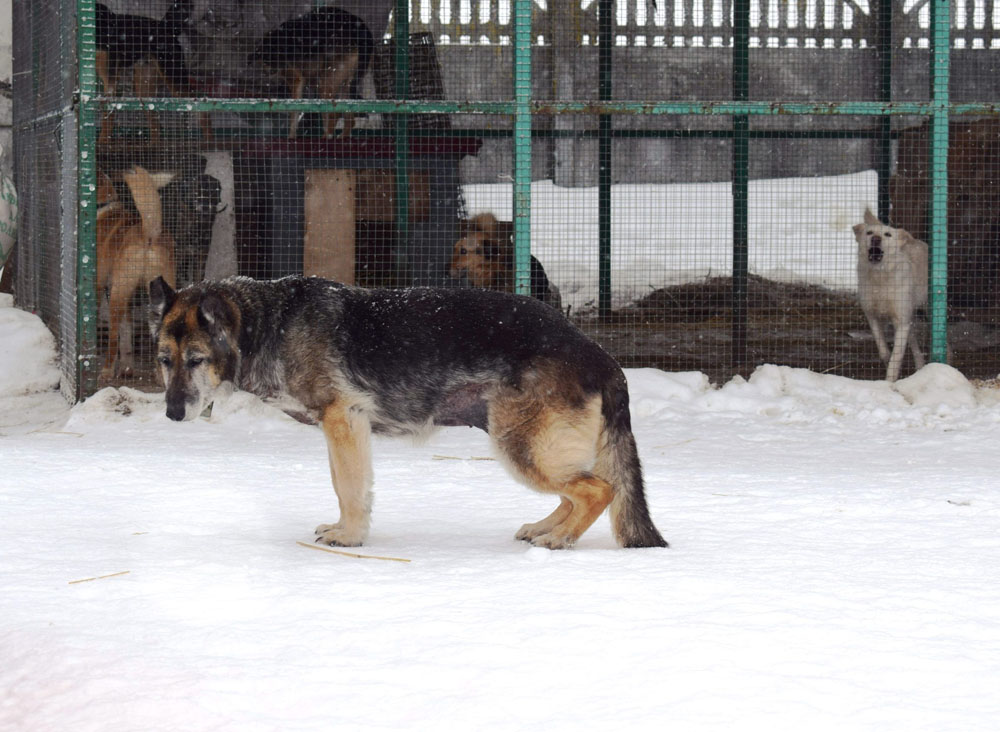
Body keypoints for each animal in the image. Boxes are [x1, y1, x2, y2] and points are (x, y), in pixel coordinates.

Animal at [146, 274, 664, 548]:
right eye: (165, 361)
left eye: (196, 361)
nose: (172, 414)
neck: (267, 324)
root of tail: (601, 357)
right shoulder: (341, 430)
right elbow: (344, 486)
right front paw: (344, 528)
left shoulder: (343, 422)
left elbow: (349, 488)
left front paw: (350, 537)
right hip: (527, 445)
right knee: (575, 491)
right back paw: (545, 528)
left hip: (520, 446)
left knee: (598, 489)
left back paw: (559, 539)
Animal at [250, 6, 376, 139]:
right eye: (264, 62)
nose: (266, 72)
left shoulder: (296, 79)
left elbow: (294, 111)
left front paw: (291, 137)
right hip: (342, 83)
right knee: (349, 118)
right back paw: (342, 136)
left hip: (326, 81)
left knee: (334, 114)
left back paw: (327, 137)